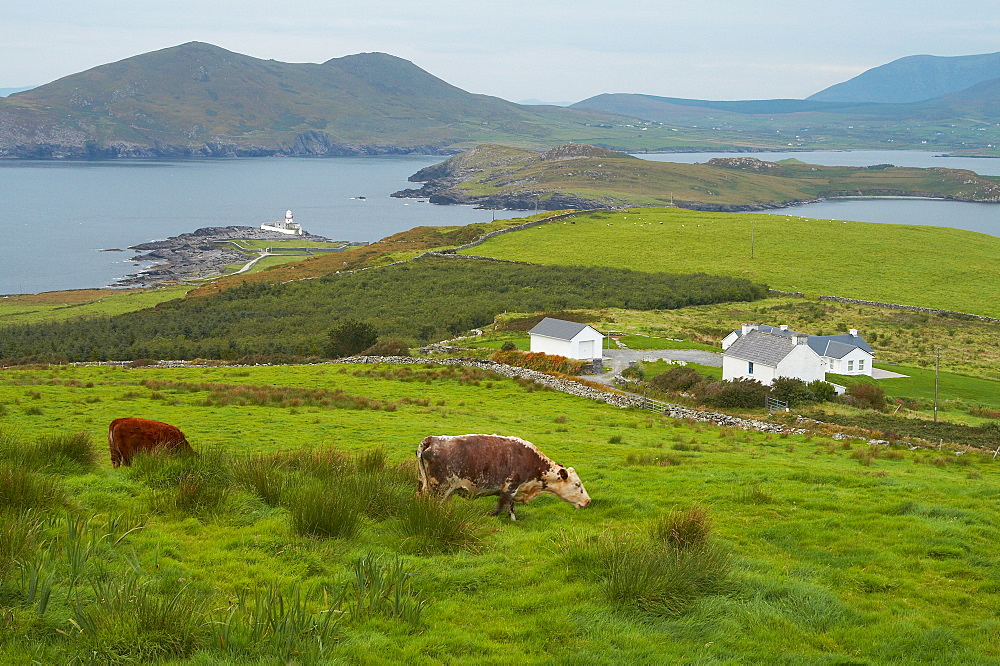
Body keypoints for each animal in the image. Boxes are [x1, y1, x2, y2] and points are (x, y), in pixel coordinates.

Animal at [412, 434, 584, 520]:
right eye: (577, 484)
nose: (587, 501)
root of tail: (431, 439)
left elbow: (510, 507)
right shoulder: (511, 487)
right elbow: (501, 506)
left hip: (425, 485)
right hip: (438, 490)